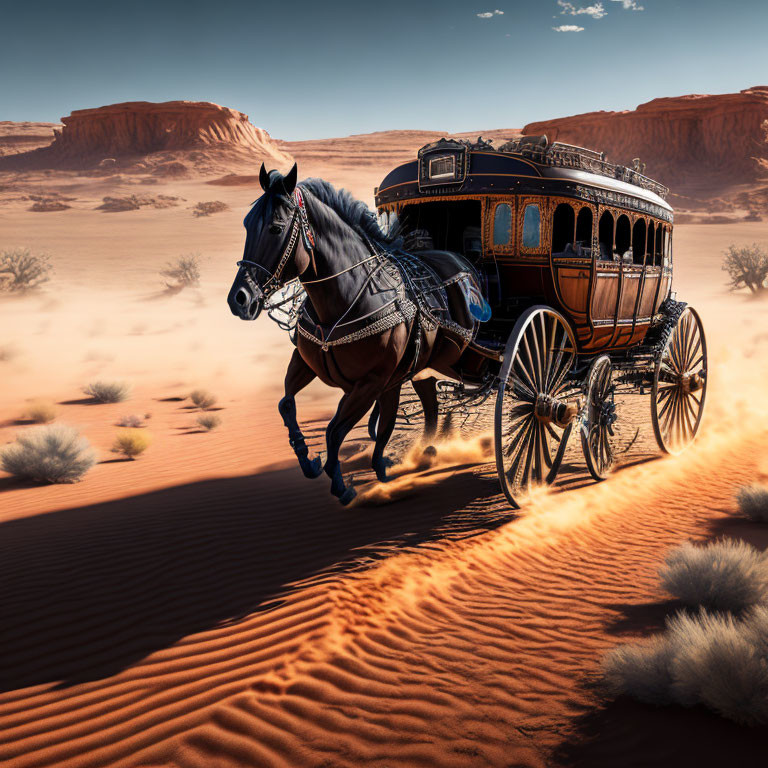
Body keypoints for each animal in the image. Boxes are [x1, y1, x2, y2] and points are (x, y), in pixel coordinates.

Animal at [226, 164, 486, 504]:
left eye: (275, 228)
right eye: (246, 224)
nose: (239, 299)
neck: (348, 296)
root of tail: (462, 261)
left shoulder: (371, 382)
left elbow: (336, 429)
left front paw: (340, 483)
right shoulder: (307, 362)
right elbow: (287, 404)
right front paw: (309, 460)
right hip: (422, 367)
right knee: (426, 403)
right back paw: (418, 454)